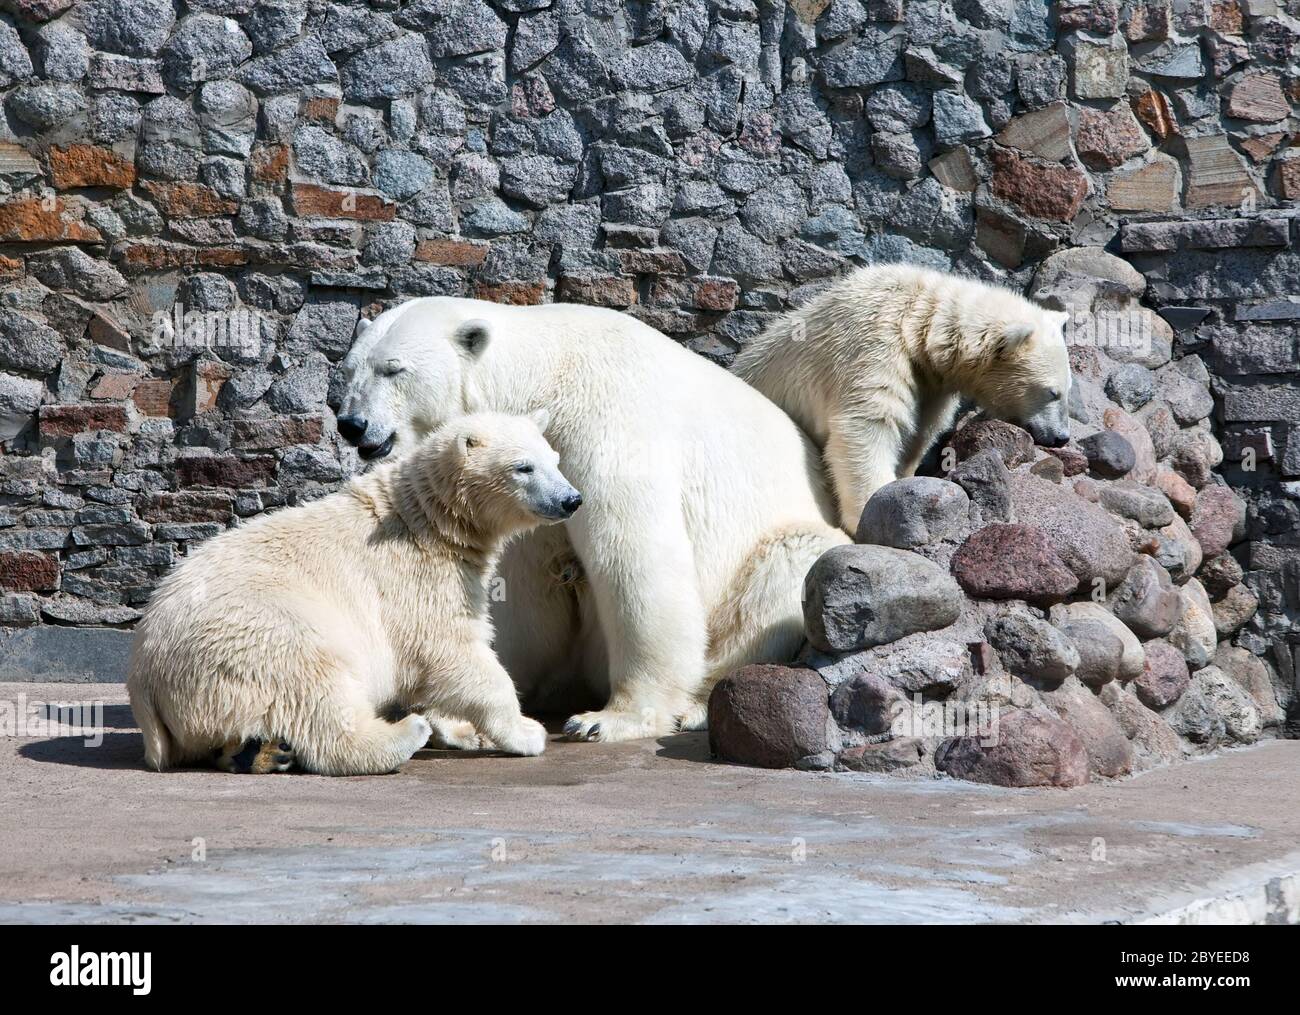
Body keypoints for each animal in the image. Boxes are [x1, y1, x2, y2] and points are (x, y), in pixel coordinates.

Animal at [128, 410, 579, 774]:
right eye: (523, 467)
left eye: (555, 460)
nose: (571, 499)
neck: (428, 518)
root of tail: (144, 676)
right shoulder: (415, 577)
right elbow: (452, 650)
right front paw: (526, 731)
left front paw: (463, 732)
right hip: (258, 631)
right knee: (314, 691)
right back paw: (398, 735)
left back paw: (259, 752)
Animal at [330, 297, 847, 738]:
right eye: (349, 369)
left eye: (393, 369)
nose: (352, 424)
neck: (546, 375)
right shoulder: (522, 489)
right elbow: (518, 587)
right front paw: (461, 716)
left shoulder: (605, 426)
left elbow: (632, 556)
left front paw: (611, 719)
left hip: (781, 550)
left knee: (780, 576)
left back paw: (698, 707)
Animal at [733, 261, 1076, 530]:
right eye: (1052, 392)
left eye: (1067, 390)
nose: (1061, 437)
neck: (919, 321)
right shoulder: (873, 347)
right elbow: (866, 427)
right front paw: (871, 513)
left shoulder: (932, 384)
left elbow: (922, 430)